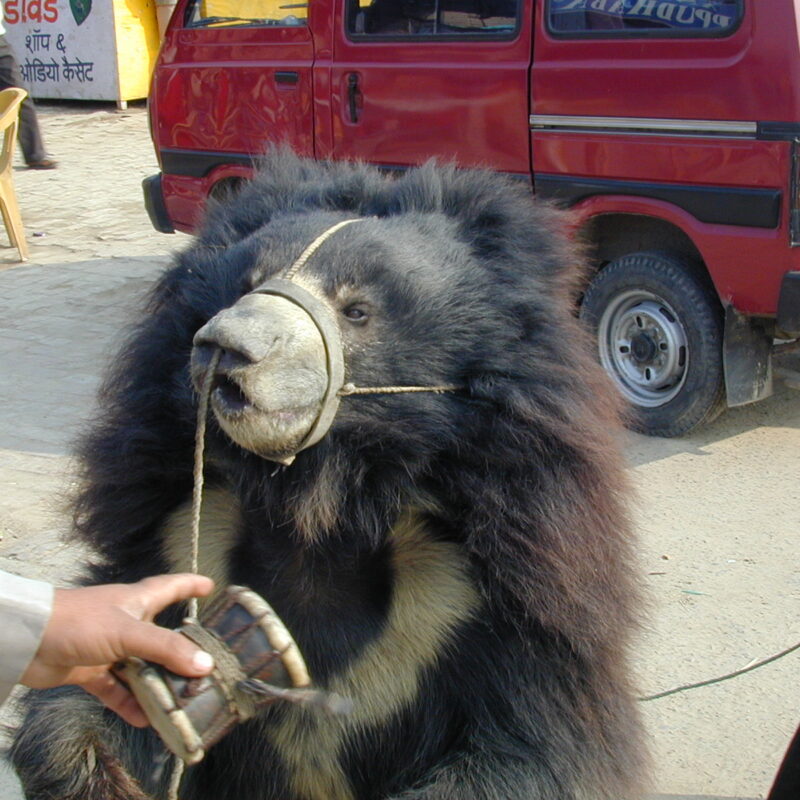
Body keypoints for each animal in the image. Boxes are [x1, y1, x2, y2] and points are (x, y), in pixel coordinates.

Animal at [11, 152, 647, 800]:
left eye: (357, 310)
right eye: (247, 284)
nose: (223, 347)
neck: (319, 504)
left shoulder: (494, 593)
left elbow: (532, 749)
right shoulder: (168, 527)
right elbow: (87, 694)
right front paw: (102, 774)